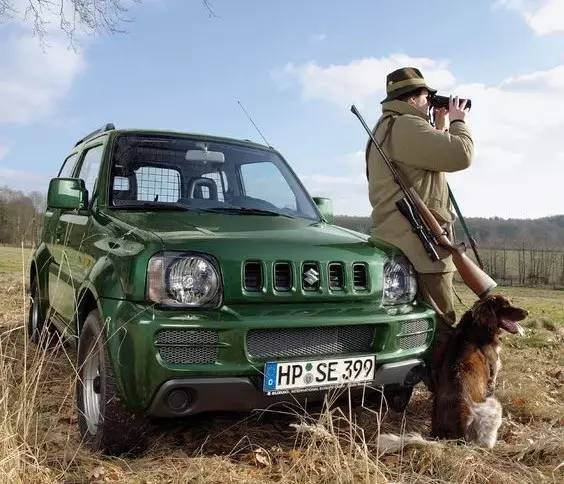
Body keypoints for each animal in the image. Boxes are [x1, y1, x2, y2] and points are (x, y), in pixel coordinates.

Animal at [431, 294, 528, 448]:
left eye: (511, 302)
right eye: (505, 305)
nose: (527, 312)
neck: (476, 327)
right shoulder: (492, 375)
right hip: (495, 406)